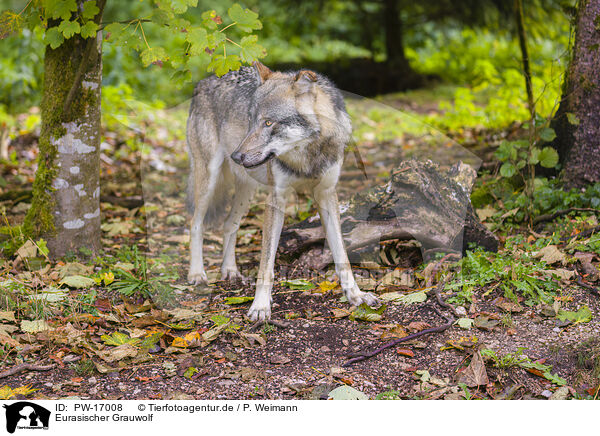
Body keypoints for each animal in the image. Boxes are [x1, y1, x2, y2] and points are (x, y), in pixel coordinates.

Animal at [185, 61, 378, 320]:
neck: (306, 156)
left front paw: (356, 295)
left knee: (228, 224)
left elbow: (342, 256)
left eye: (268, 122)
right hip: (209, 179)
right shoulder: (276, 198)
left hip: (246, 190)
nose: (236, 156)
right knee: (195, 224)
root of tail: (205, 81)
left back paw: (230, 270)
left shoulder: (327, 195)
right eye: (250, 120)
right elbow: (266, 264)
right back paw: (197, 274)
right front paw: (260, 306)